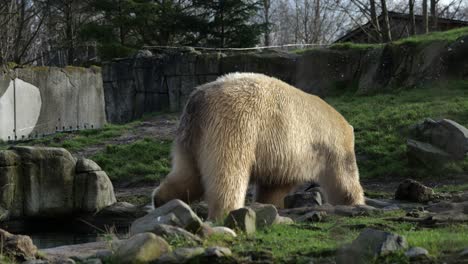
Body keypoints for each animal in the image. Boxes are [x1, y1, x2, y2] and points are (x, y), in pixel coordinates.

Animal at [154, 72, 366, 221]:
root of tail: (199, 99)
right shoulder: (332, 147)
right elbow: (343, 178)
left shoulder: (286, 156)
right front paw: (354, 202)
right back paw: (226, 212)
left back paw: (161, 199)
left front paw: (267, 205)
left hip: (190, 134)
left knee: (188, 174)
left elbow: (274, 185)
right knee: (228, 172)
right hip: (235, 126)